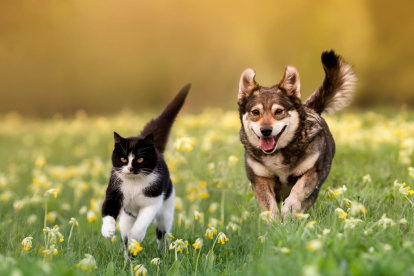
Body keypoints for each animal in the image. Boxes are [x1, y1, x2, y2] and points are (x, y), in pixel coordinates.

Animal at [100, 84, 191, 250]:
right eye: (123, 159)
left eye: (140, 159)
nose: (130, 168)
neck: (134, 183)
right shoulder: (114, 192)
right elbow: (108, 210)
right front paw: (108, 231)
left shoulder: (153, 201)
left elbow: (143, 221)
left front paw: (136, 236)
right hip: (127, 217)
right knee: (125, 236)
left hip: (166, 209)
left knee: (162, 233)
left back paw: (162, 251)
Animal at [238, 50, 358, 221]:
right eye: (255, 112)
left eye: (279, 111)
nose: (266, 130)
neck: (279, 153)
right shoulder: (260, 179)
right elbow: (269, 205)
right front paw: (274, 222)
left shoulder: (312, 172)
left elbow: (299, 189)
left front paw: (289, 207)